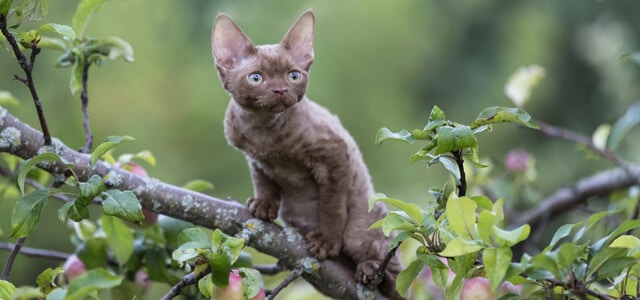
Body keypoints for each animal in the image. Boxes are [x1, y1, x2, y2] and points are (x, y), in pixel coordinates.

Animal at [210, 10, 402, 298]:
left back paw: (371, 271)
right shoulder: (254, 157)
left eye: (293, 76)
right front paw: (263, 205)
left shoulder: (334, 154)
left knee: (394, 275)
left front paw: (326, 242)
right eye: (256, 78)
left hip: (362, 228)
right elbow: (262, 180)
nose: (280, 90)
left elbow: (331, 206)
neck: (263, 130)